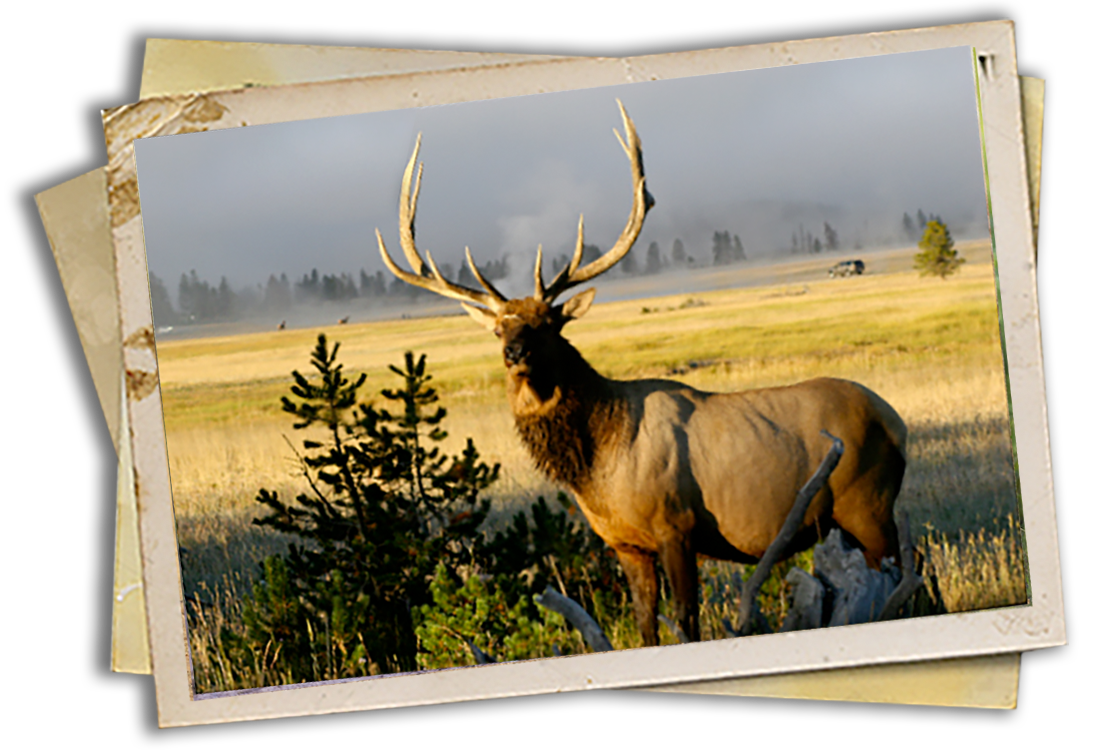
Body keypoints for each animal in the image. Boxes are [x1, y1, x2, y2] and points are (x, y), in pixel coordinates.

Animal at [374, 101, 910, 648]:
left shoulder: (677, 526)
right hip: (848, 522)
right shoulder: (626, 544)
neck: (598, 468)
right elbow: (646, 626)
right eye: (500, 327)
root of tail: (895, 421)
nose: (515, 353)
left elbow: (687, 622)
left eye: (549, 322)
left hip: (869, 504)